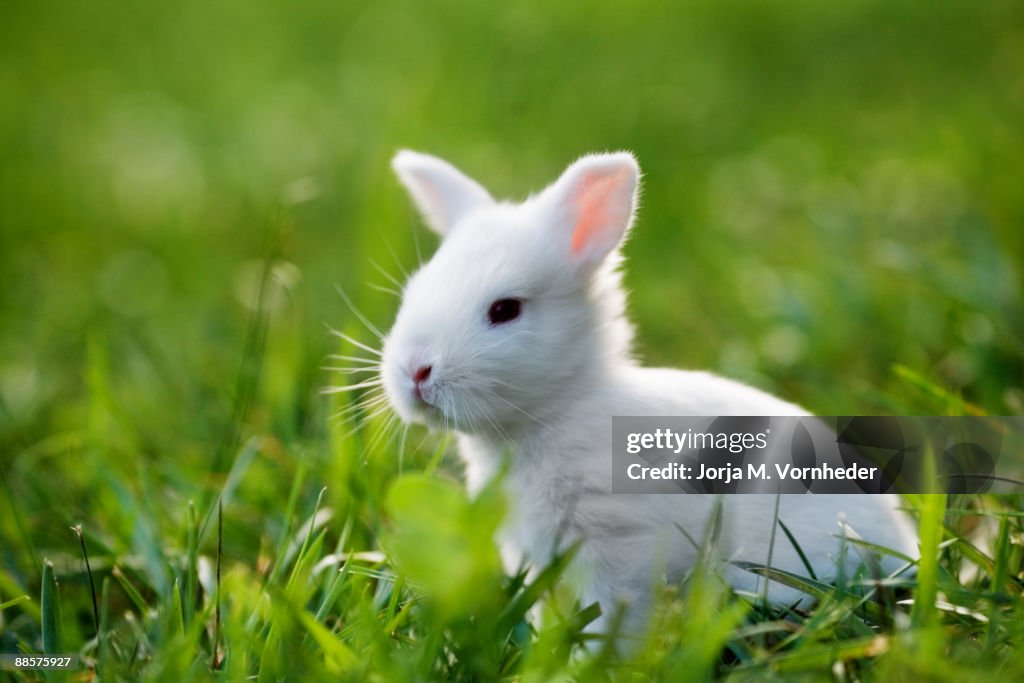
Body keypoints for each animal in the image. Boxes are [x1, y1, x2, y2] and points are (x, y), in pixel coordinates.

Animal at [378, 149, 918, 641]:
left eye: (505, 309)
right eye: (413, 293)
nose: (416, 372)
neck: (556, 412)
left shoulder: (620, 549)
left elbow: (611, 618)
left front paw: (586, 666)